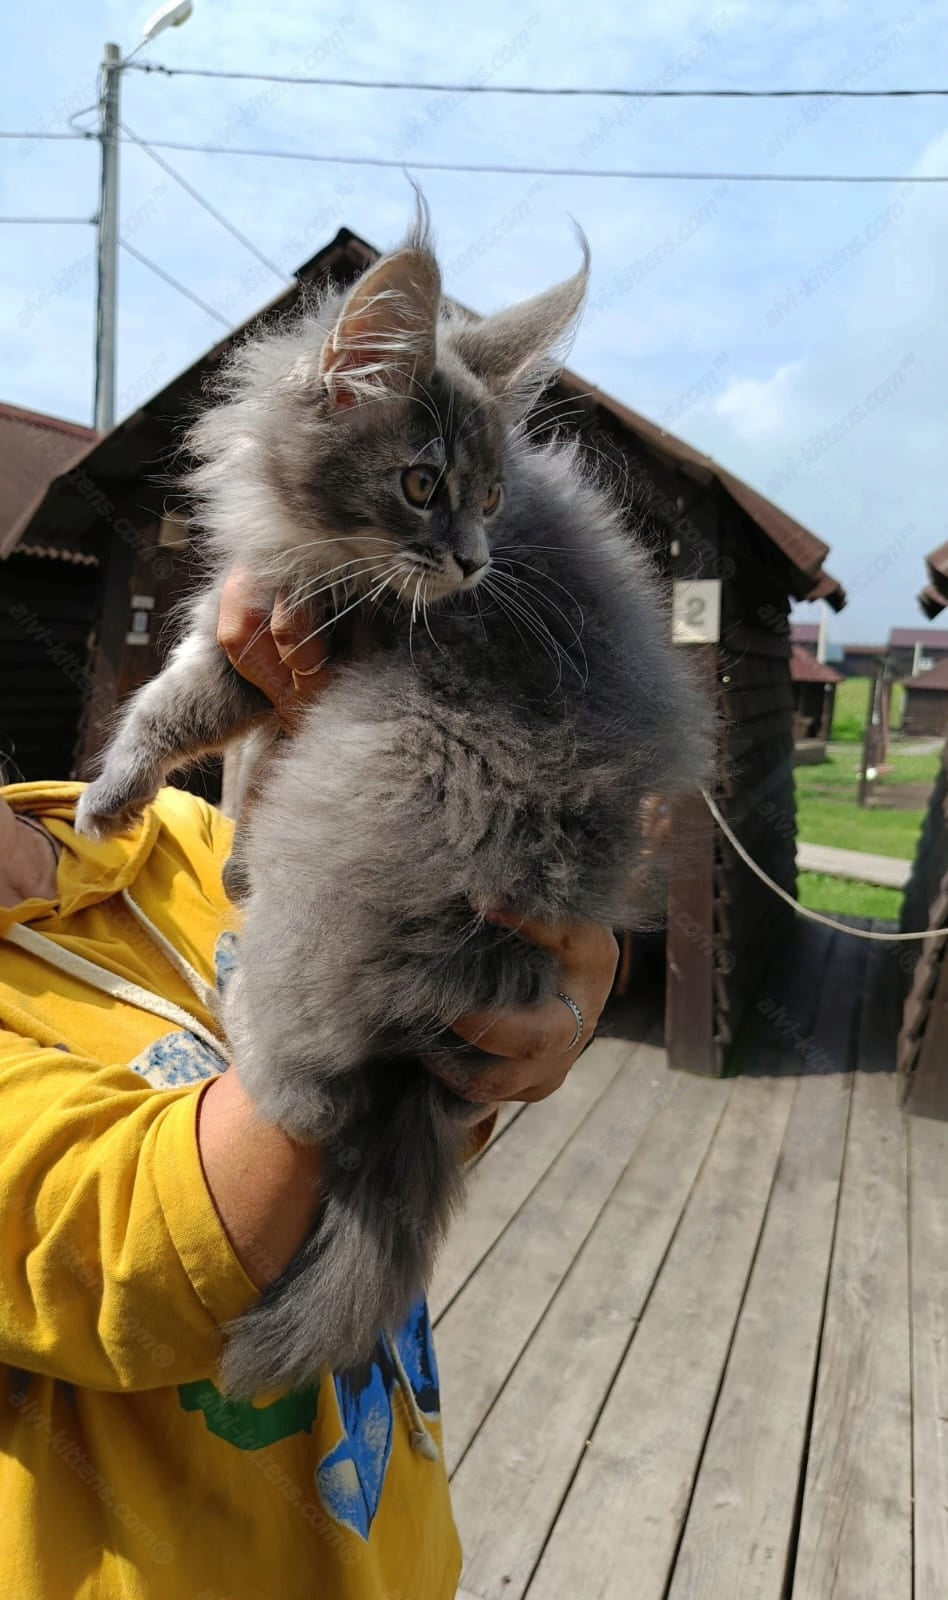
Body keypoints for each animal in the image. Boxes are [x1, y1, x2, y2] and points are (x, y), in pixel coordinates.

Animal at [76, 216, 711, 1401]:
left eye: (491, 498)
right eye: (423, 483)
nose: (471, 560)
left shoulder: (301, 626)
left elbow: (176, 701)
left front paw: (108, 794)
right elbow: (229, 737)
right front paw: (200, 834)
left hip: (357, 825)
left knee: (307, 1094)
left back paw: (237, 982)